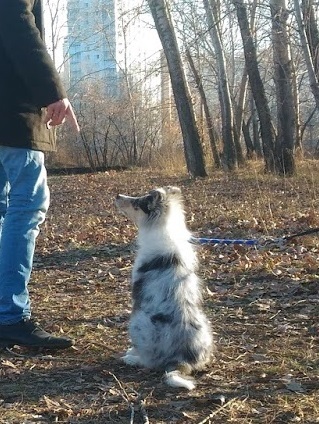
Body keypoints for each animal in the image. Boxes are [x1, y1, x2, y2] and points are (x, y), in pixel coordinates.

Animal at [114, 187, 212, 390]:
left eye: (138, 203)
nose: (117, 195)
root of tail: (181, 359)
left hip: (137, 323)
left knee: (149, 361)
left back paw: (132, 358)